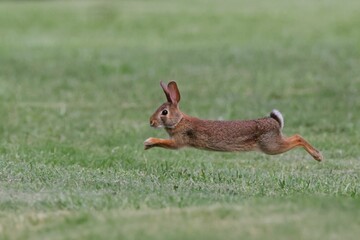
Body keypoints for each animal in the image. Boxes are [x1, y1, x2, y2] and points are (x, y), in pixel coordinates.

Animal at [143, 80, 324, 161]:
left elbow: (165, 143)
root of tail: (275, 122)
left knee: (297, 138)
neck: (179, 120)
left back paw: (318, 156)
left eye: (164, 112)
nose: (151, 122)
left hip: (271, 146)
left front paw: (148, 141)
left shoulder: (179, 141)